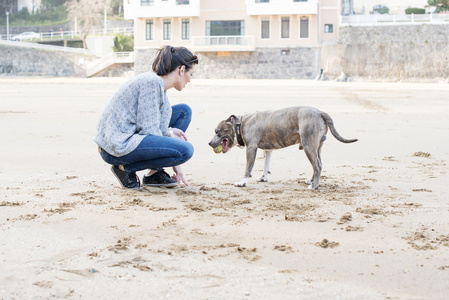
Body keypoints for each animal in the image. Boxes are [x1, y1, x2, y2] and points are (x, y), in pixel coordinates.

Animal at [207, 106, 356, 190]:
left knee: (317, 165)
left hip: (308, 145)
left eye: (217, 131)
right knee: (318, 164)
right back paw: (311, 181)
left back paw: (314, 186)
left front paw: (243, 182)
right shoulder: (267, 150)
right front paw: (264, 178)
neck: (240, 124)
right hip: (317, 147)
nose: (209, 143)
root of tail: (320, 112)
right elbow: (266, 165)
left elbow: (248, 167)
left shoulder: (251, 148)